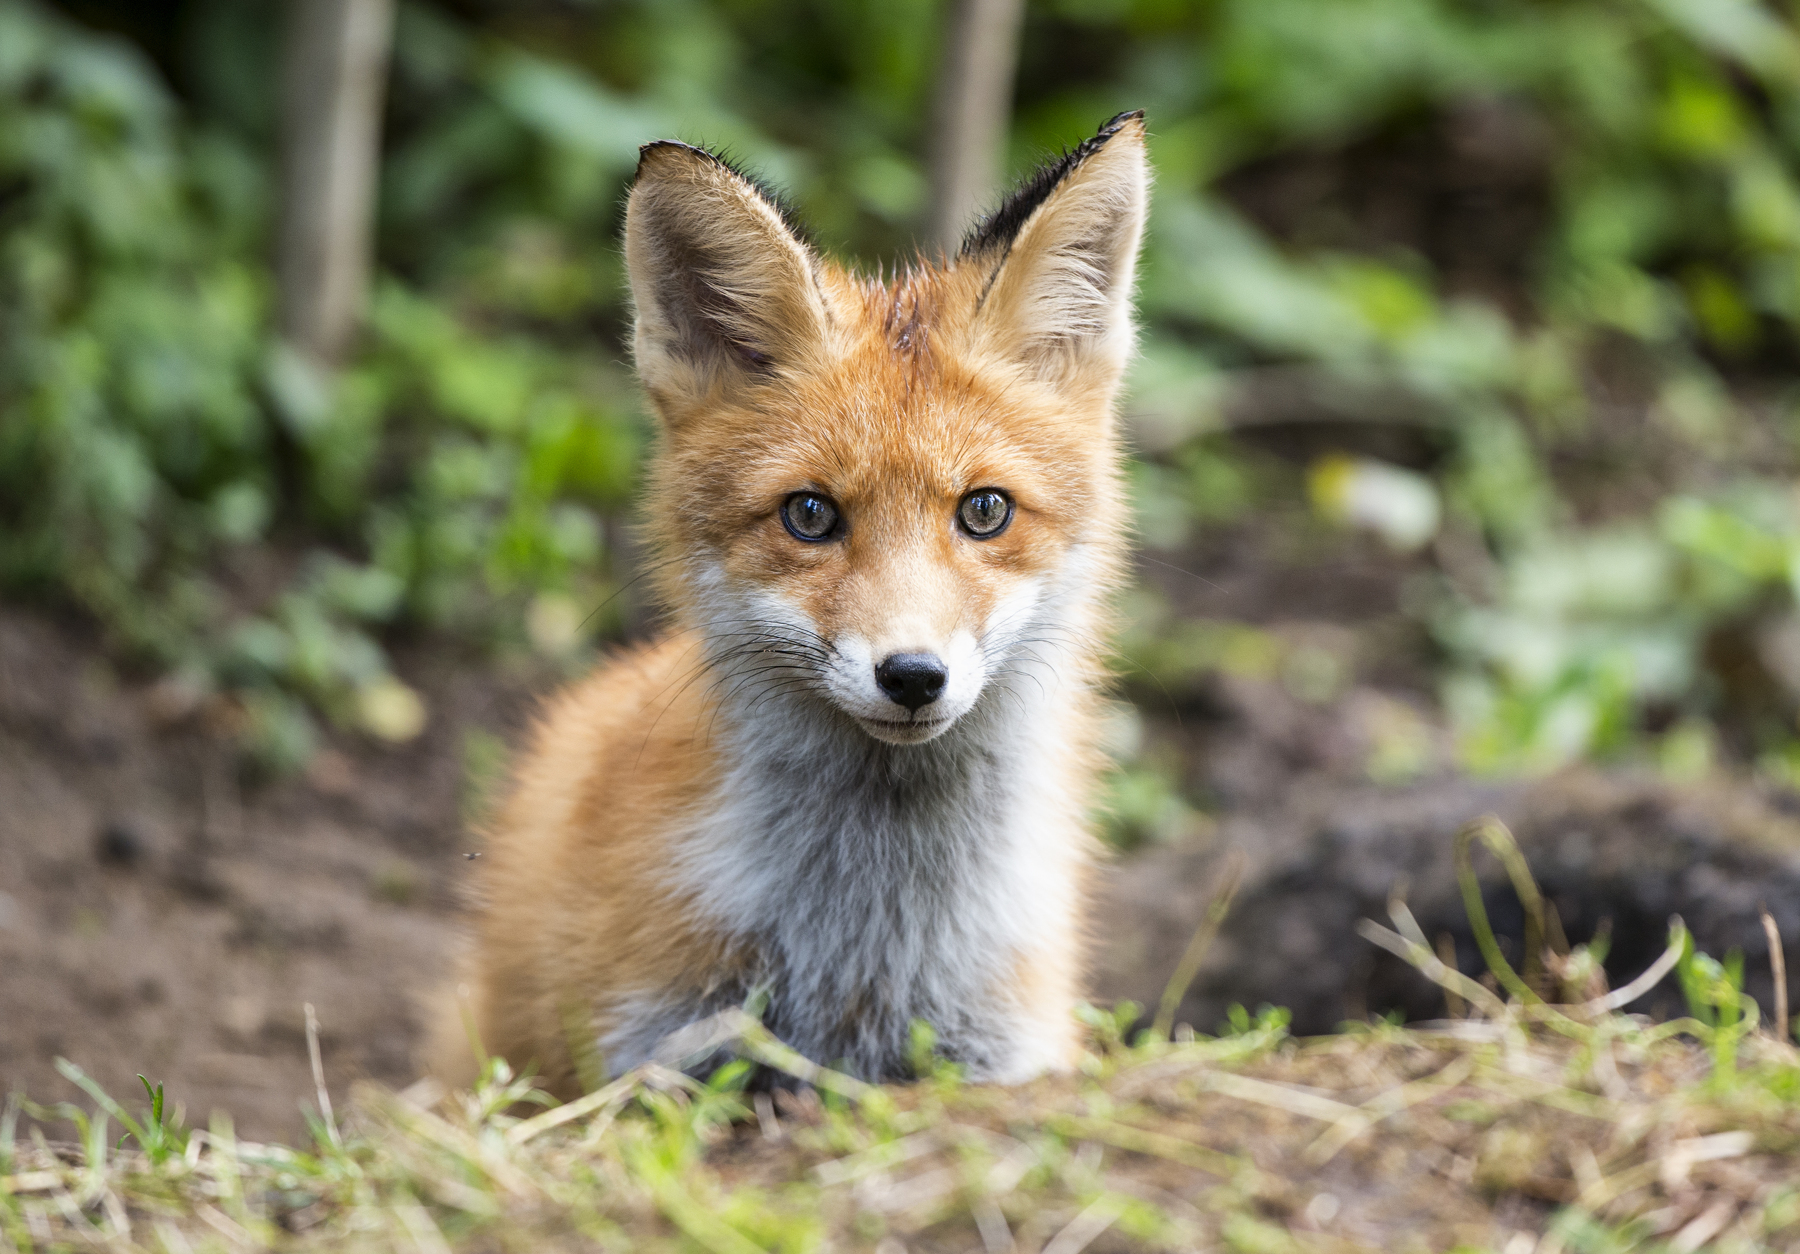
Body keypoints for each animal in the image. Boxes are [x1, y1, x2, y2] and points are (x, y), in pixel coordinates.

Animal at [428, 112, 1144, 1093]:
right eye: (810, 515)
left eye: (985, 510)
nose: (912, 676)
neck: (863, 948)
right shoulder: (657, 1050)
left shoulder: (1005, 1053)